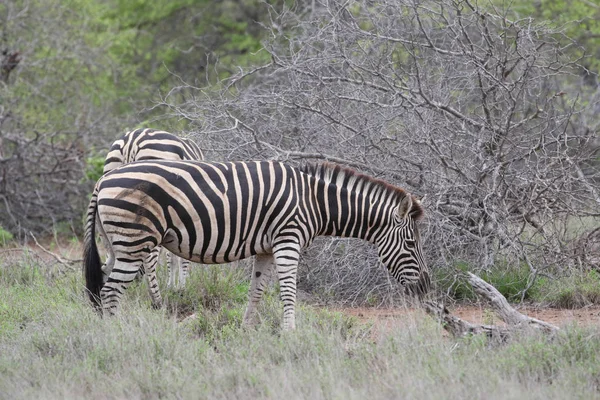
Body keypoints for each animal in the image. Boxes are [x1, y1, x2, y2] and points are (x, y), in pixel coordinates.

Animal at [84, 161, 432, 330]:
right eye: (411, 242)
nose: (426, 287)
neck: (313, 201)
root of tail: (104, 179)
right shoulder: (288, 239)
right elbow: (288, 290)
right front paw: (290, 333)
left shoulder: (265, 247)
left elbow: (257, 290)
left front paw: (247, 329)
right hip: (134, 243)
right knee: (110, 292)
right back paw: (115, 336)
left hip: (118, 244)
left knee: (104, 288)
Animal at [98, 128, 202, 306]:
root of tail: (131, 140)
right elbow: (179, 257)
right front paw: (180, 287)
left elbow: (172, 256)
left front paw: (172, 286)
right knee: (149, 258)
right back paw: (156, 299)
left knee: (111, 255)